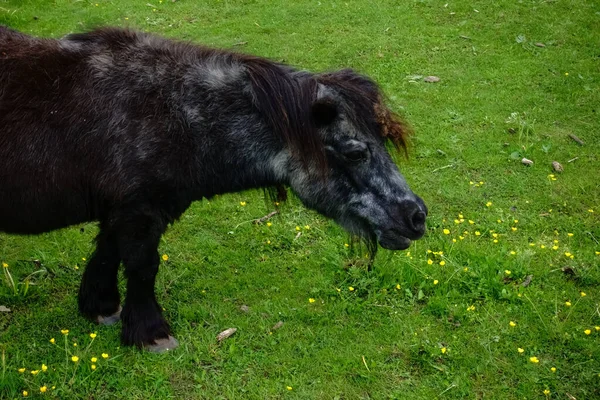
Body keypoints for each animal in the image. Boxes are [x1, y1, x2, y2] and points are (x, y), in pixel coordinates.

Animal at [0, 26, 426, 352]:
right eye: (355, 153)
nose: (416, 216)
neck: (177, 116)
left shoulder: (120, 210)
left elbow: (106, 254)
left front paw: (101, 307)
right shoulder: (139, 211)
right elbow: (142, 266)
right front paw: (151, 333)